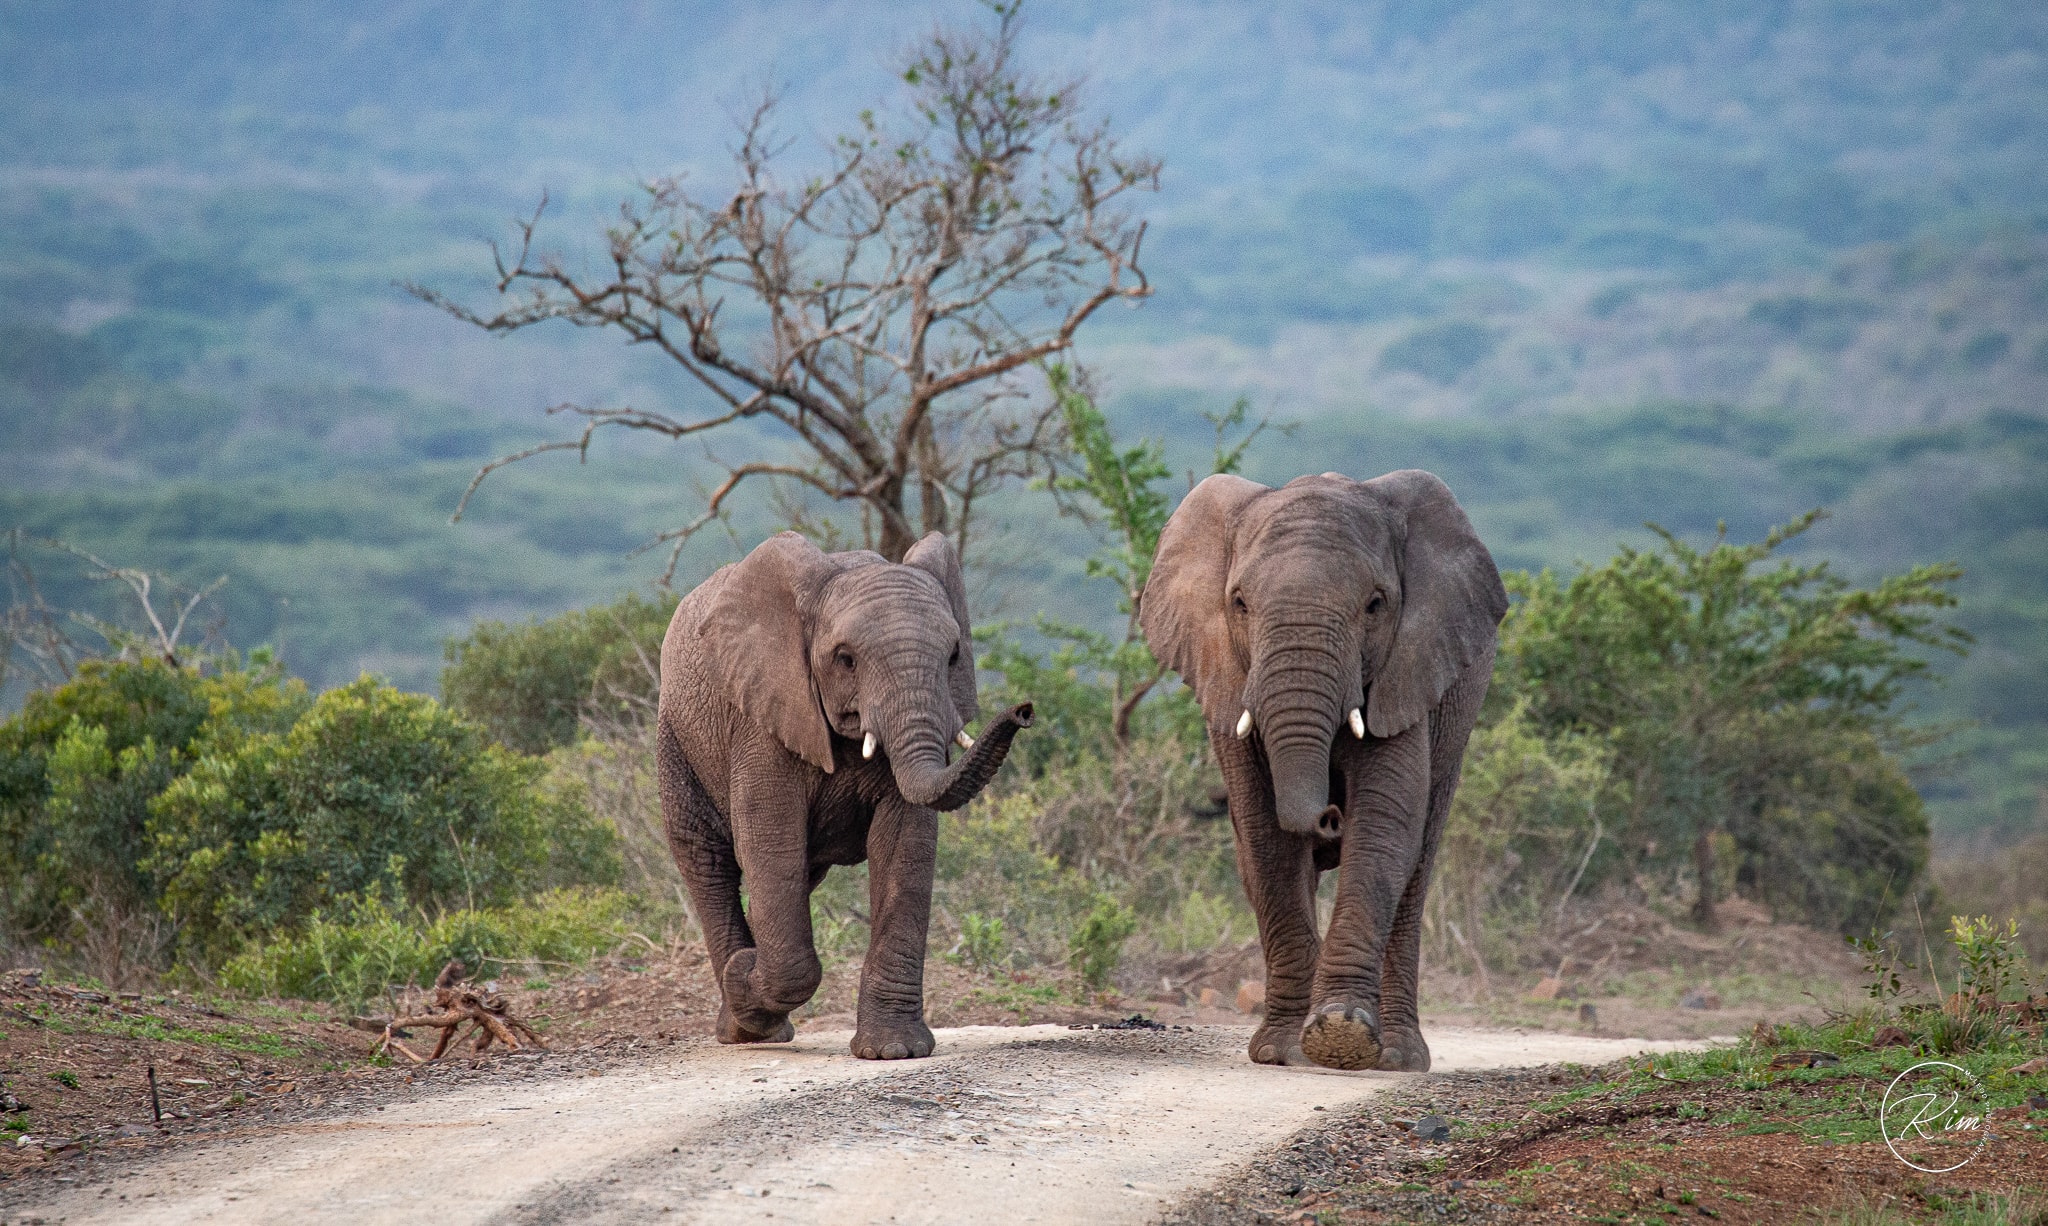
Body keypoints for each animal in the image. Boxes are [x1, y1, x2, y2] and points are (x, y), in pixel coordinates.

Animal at [656, 530, 1033, 1060]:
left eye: (954, 656)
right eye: (845, 659)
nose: (1024, 710)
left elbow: (905, 847)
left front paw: (894, 1052)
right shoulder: (761, 721)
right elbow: (771, 844)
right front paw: (745, 974)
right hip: (677, 739)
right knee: (709, 863)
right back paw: (746, 1024)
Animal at [1138, 470, 1506, 1072]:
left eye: (1376, 605)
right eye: (1239, 603)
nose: (1331, 815)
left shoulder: (1407, 672)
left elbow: (1383, 827)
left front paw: (1341, 1037)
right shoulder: (1227, 678)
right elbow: (1263, 836)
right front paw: (1285, 1051)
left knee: (1417, 865)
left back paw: (1398, 1057)